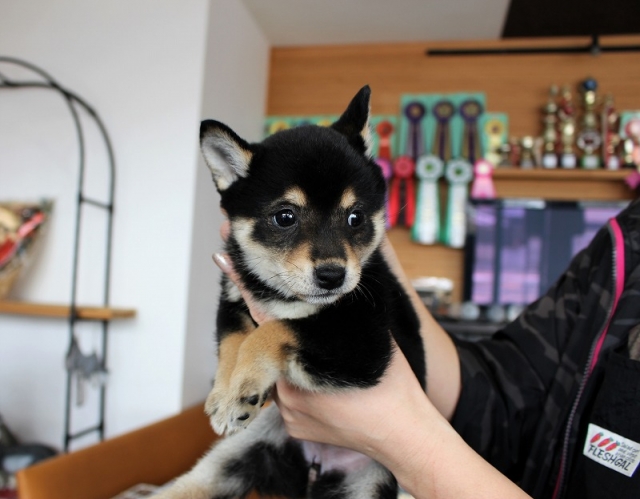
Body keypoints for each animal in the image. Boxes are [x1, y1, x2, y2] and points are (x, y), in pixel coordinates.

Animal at [154, 86, 425, 499]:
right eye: (285, 217)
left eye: (356, 217)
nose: (333, 275)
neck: (285, 298)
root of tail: (314, 472)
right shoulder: (233, 299)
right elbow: (233, 341)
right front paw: (225, 393)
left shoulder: (363, 344)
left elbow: (275, 330)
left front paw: (241, 387)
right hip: (235, 454)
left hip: (371, 483)